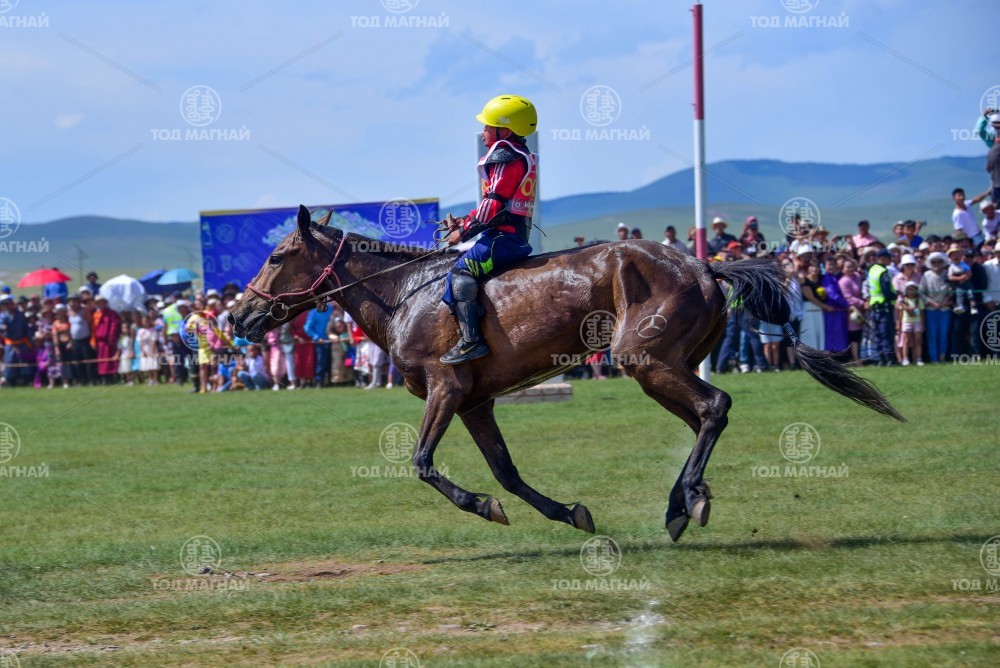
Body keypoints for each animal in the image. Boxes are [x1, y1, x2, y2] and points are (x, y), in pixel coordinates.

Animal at [230, 205, 903, 542]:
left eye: (277, 256)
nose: (238, 314)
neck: (406, 295)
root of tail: (705, 266)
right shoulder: (475, 402)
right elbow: (507, 472)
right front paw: (565, 513)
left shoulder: (447, 389)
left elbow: (422, 463)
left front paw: (480, 506)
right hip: (665, 365)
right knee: (705, 418)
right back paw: (681, 501)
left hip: (646, 361)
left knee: (714, 408)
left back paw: (686, 503)